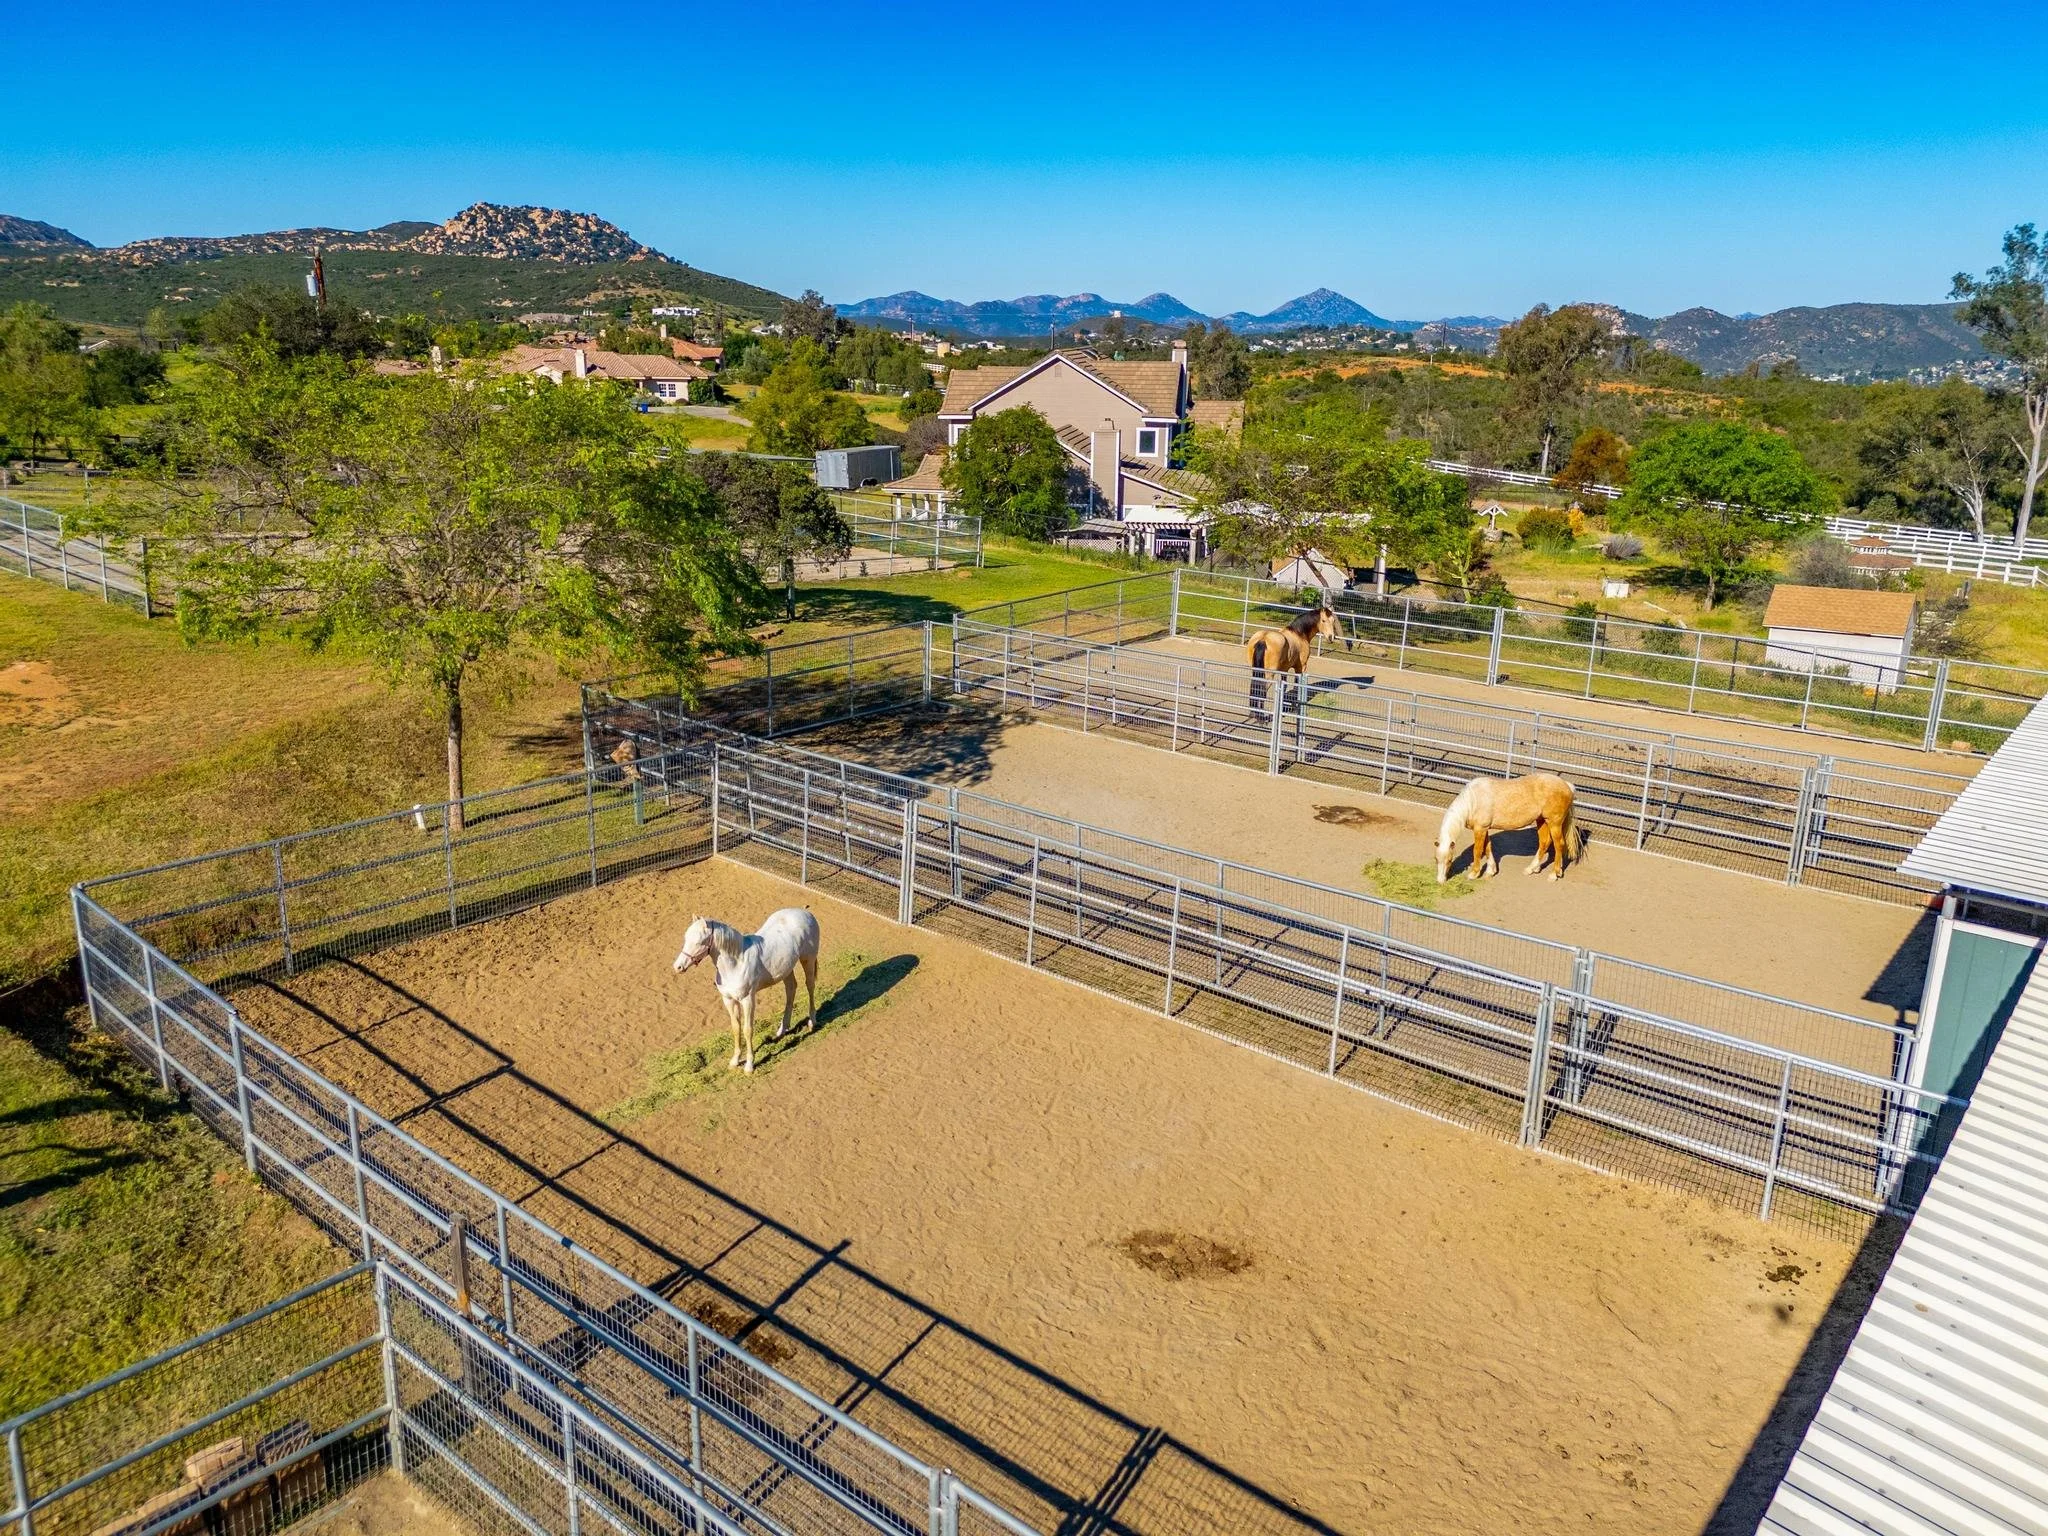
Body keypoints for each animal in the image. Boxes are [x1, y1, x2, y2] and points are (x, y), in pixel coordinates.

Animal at [672, 908, 822, 1074]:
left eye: (700, 942)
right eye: (686, 939)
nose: (678, 967)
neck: (736, 963)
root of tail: (805, 912)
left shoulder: (748, 999)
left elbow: (747, 1029)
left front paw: (749, 1065)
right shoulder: (729, 1000)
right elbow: (736, 1028)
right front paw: (734, 1061)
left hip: (808, 959)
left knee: (810, 986)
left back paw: (812, 1022)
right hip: (786, 969)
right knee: (791, 989)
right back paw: (782, 1030)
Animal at [1434, 773, 1584, 883]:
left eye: (1449, 860)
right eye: (1436, 859)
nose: (1440, 881)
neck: (1473, 801)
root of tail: (1567, 785)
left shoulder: (1480, 829)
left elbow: (1477, 850)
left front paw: (1474, 874)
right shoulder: (1484, 829)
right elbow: (1487, 847)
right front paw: (1490, 871)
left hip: (1554, 823)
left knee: (1559, 845)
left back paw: (1554, 874)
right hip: (1542, 821)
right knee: (1544, 843)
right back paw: (1532, 869)